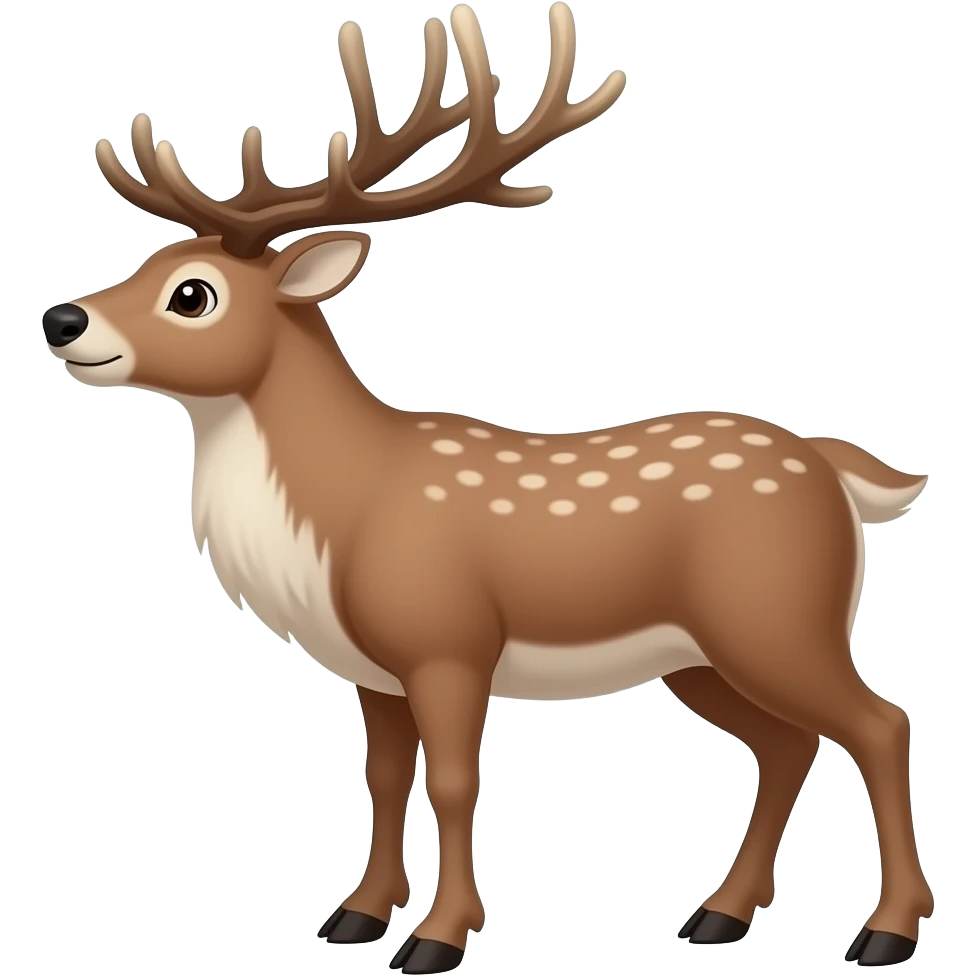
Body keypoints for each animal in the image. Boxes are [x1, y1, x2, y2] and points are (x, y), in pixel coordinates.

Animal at [39, 3, 934, 972]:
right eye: (144, 261)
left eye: (193, 295)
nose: (61, 318)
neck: (339, 515)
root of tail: (833, 468)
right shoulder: (375, 668)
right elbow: (384, 777)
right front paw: (356, 915)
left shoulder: (449, 639)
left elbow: (457, 782)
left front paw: (437, 937)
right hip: (701, 654)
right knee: (789, 744)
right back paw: (719, 915)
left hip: (776, 613)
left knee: (879, 722)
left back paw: (885, 931)